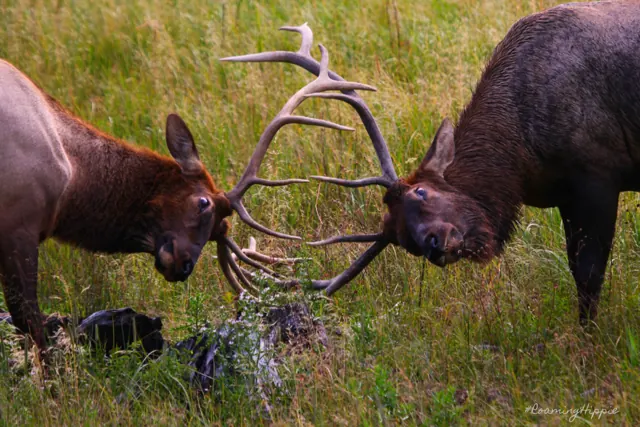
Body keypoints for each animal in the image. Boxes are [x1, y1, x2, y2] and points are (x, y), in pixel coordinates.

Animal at [224, 1, 640, 325]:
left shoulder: (595, 175)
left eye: (422, 192)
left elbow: (587, 275)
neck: (521, 158)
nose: (435, 244)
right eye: (404, 242)